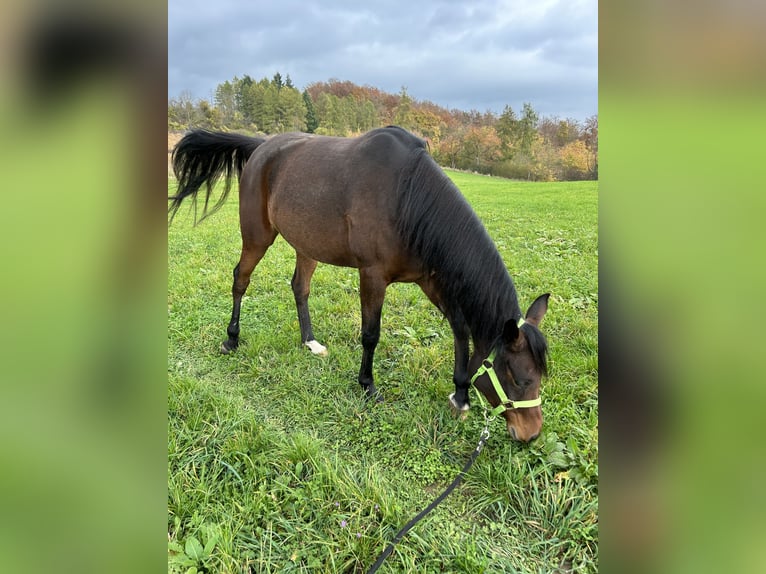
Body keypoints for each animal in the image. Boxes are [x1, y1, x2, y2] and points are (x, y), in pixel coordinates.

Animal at [169, 125, 552, 440]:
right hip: (257, 236)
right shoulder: (372, 275)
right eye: (519, 378)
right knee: (241, 279)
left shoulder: (430, 280)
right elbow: (371, 334)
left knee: (299, 287)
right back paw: (231, 339)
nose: (532, 434)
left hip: (307, 244)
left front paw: (460, 394)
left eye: (538, 377)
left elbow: (460, 330)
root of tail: (263, 146)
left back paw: (310, 342)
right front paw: (368, 385)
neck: (407, 199)